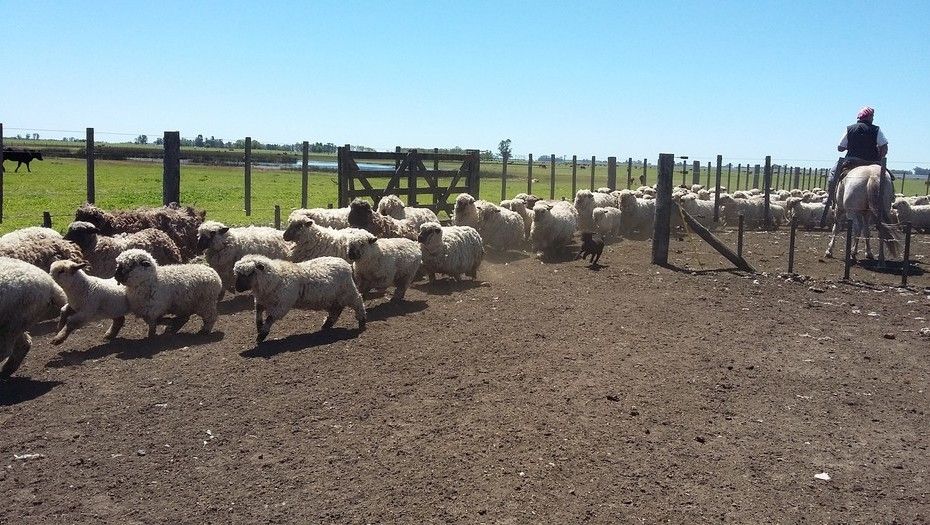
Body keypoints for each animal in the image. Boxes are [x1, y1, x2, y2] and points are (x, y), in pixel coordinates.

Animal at [234, 253, 368, 342]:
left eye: (250, 272)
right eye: (238, 274)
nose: (237, 288)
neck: (276, 277)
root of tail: (346, 264)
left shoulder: (281, 305)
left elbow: (270, 318)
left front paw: (262, 335)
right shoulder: (260, 301)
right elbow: (257, 314)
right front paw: (259, 327)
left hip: (348, 292)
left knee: (358, 301)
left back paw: (362, 320)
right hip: (333, 298)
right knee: (337, 310)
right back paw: (326, 324)